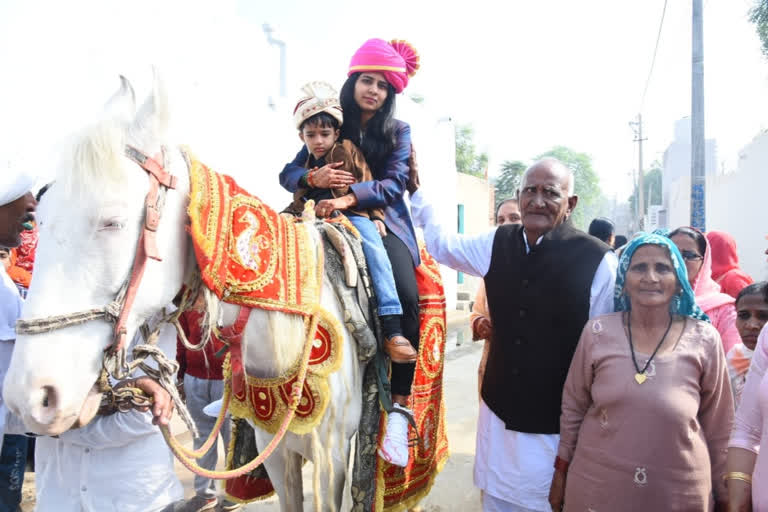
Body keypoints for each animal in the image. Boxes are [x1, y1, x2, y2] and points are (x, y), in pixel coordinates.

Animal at [3, 74, 364, 510]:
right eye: (37, 219)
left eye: (113, 222)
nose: (30, 397)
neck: (284, 333)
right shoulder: (277, 453)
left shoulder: (333, 459)